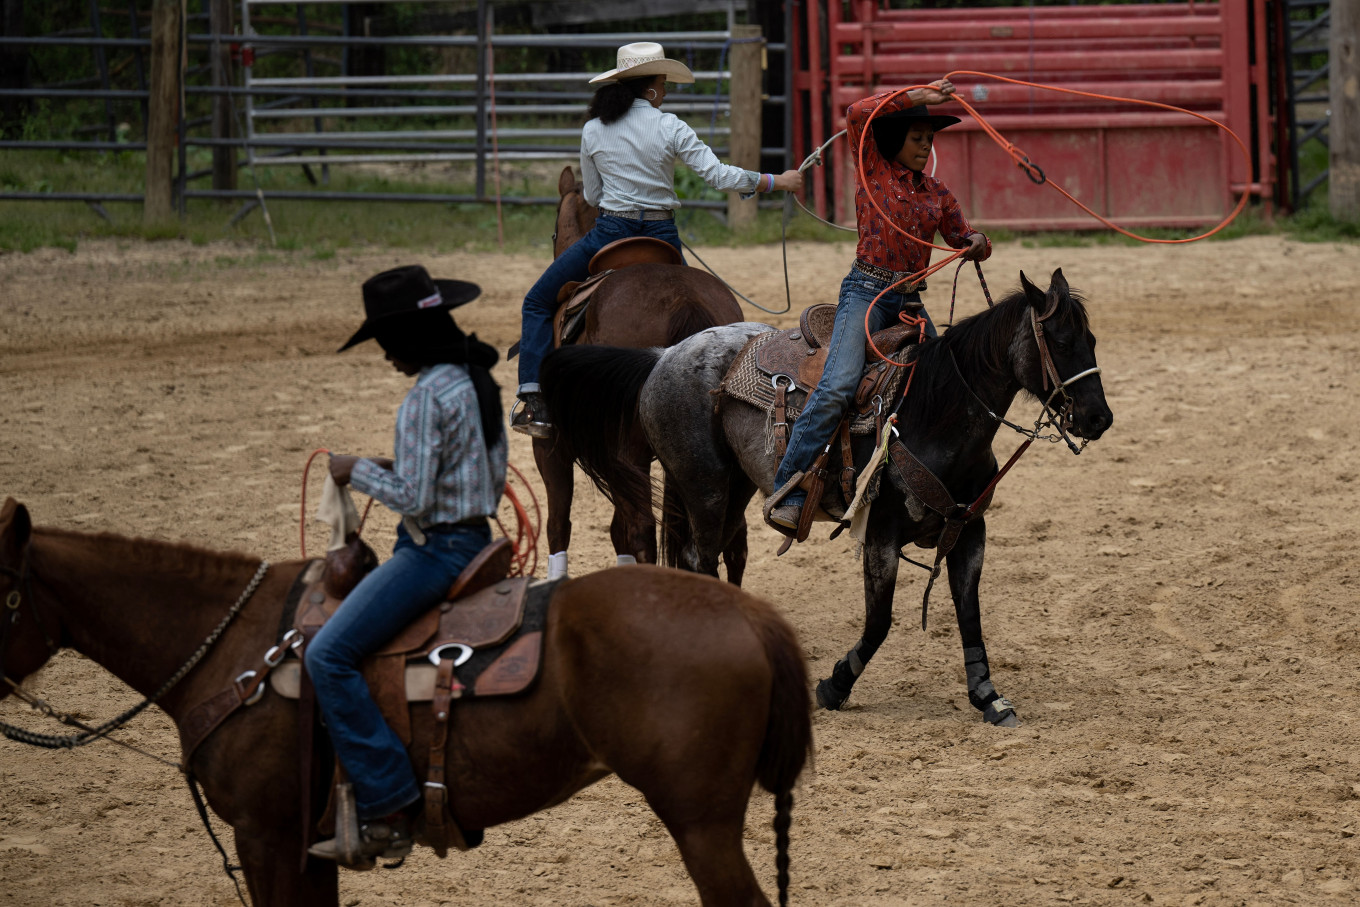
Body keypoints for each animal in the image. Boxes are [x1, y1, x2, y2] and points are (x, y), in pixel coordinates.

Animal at [530, 165, 750, 582]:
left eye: (551, 232)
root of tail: (683, 299)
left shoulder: (552, 444)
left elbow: (559, 523)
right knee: (732, 540)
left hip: (626, 452)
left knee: (642, 530)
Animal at [541, 267, 1115, 723]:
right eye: (1059, 341)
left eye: (1091, 339)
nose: (1099, 419)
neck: (935, 414)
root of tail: (663, 356)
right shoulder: (880, 533)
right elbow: (879, 622)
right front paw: (835, 685)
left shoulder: (968, 530)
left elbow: (968, 610)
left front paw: (987, 695)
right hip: (703, 484)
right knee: (699, 559)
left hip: (734, 487)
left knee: (720, 554)